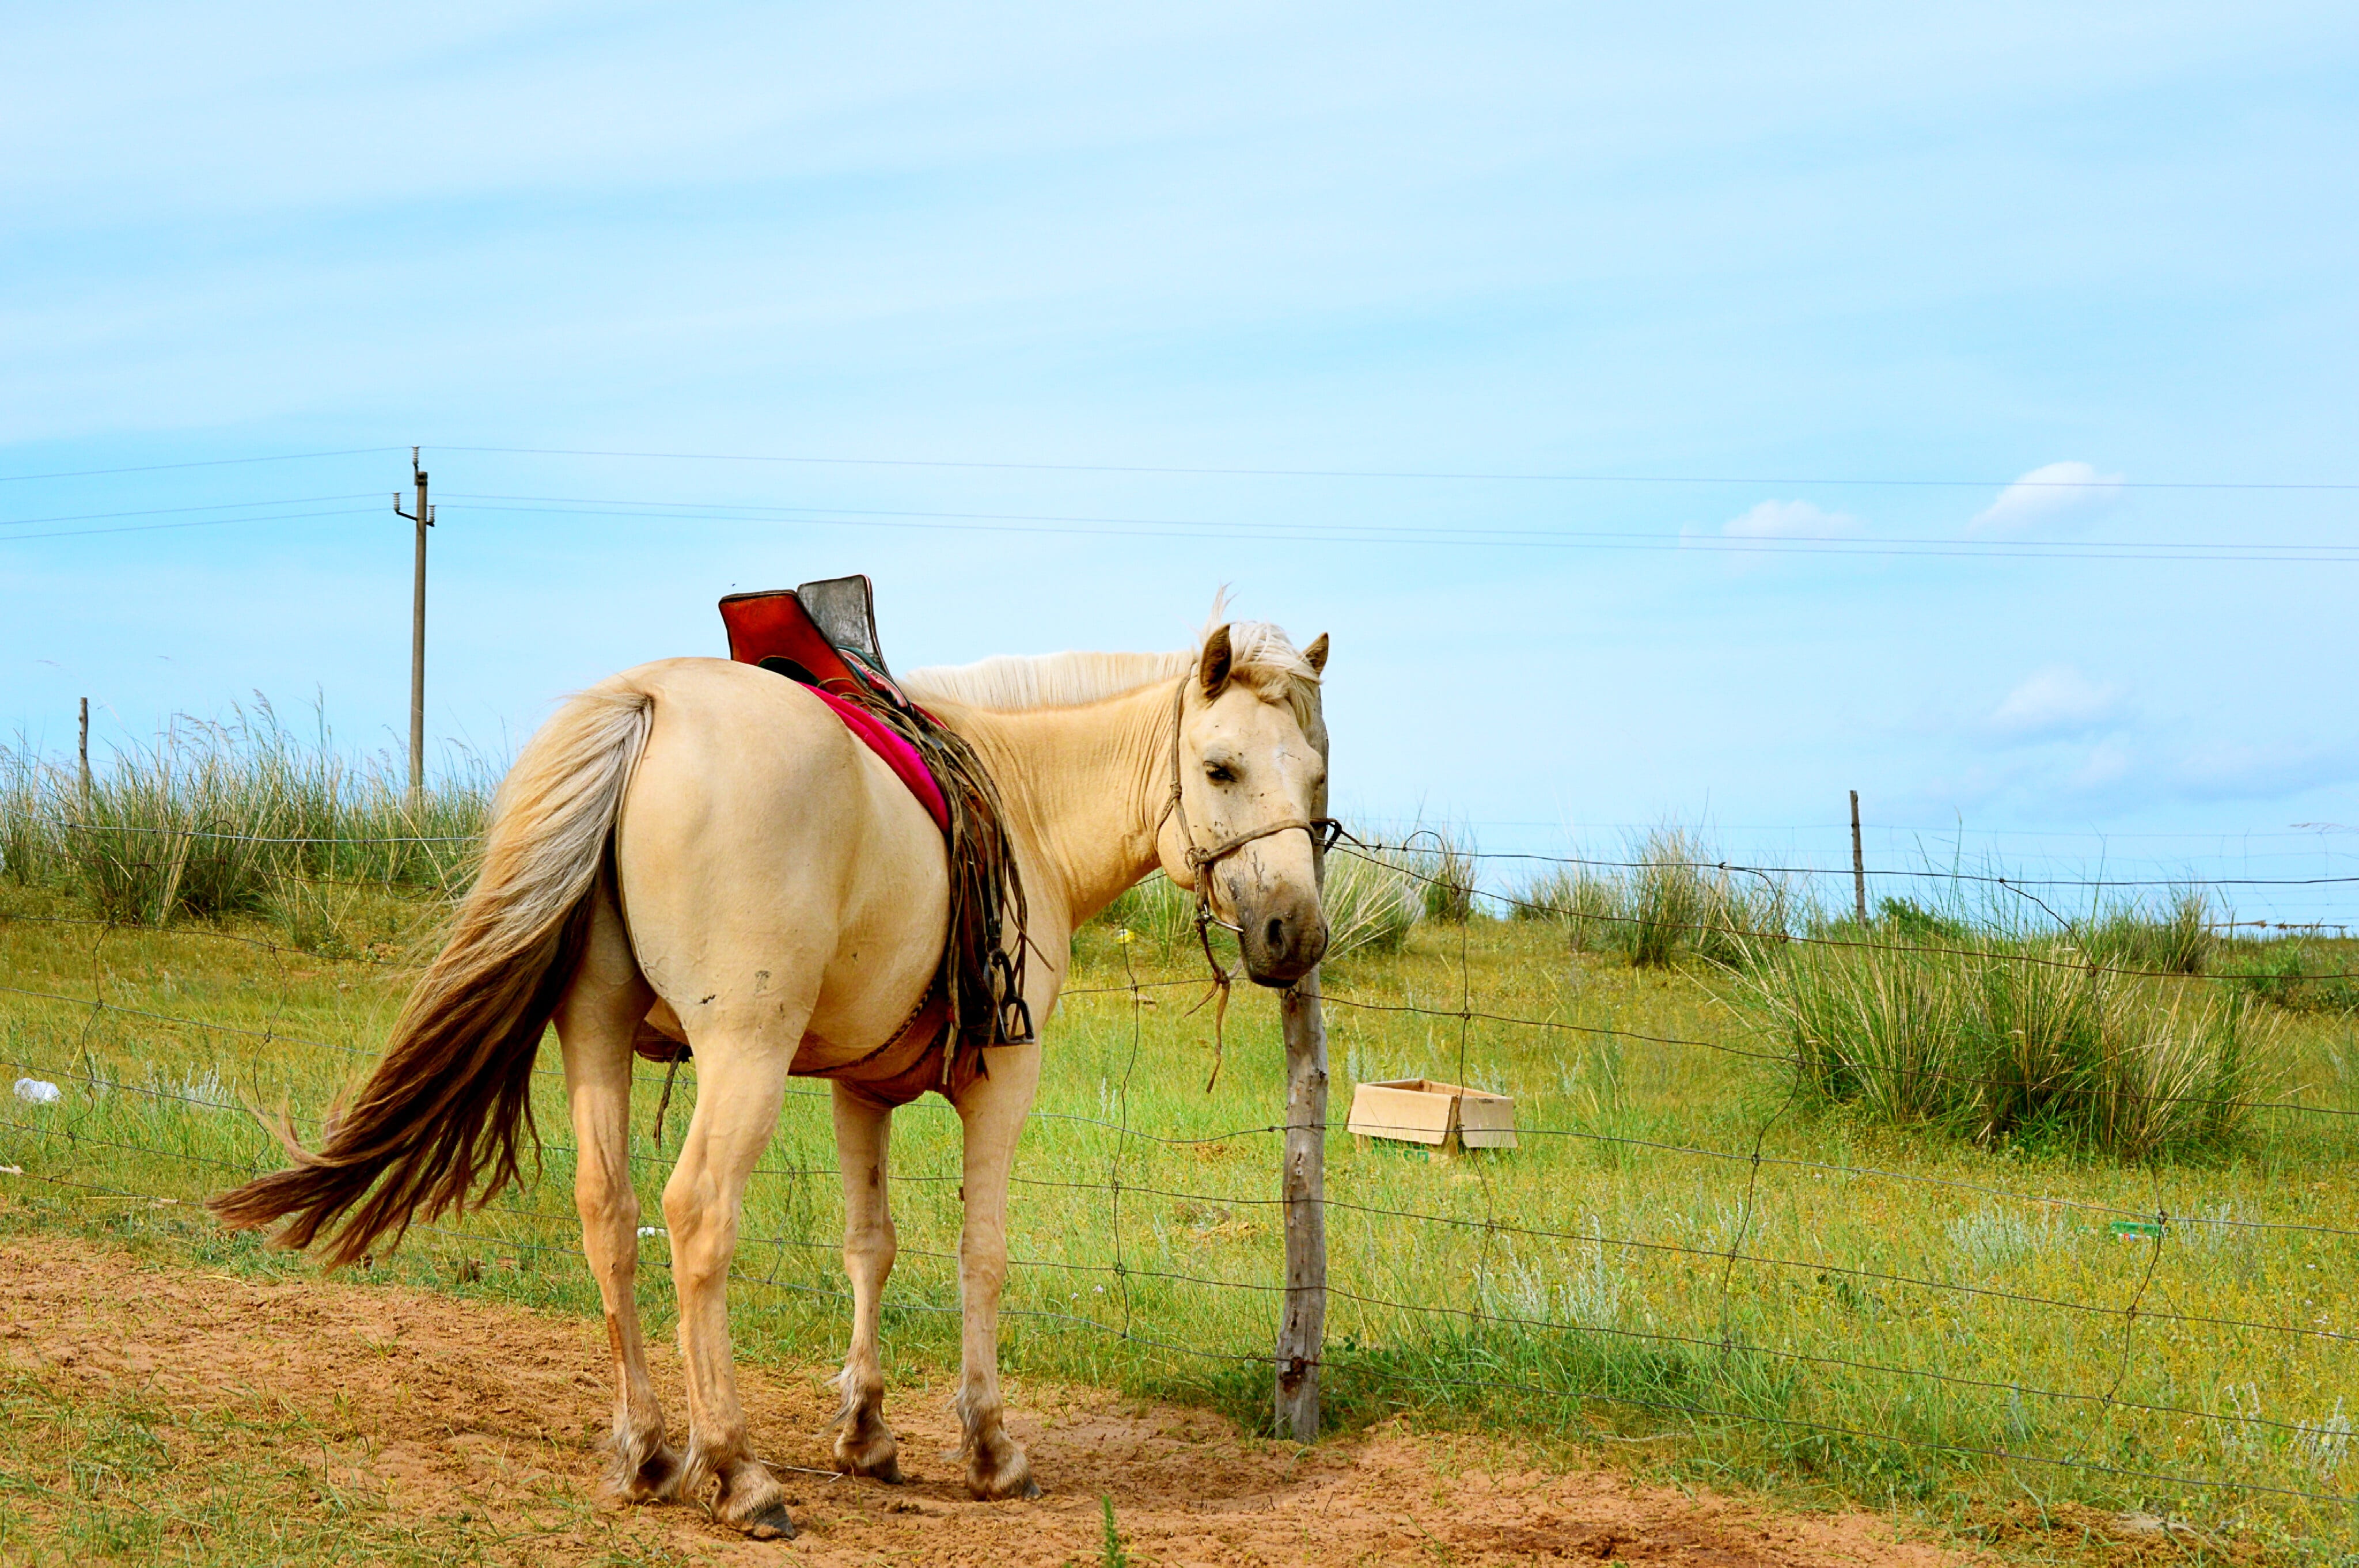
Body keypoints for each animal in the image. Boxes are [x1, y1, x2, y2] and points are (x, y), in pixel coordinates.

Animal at [210, 615, 1332, 1539]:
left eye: (1316, 776)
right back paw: (737, 1470)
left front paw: (866, 1431)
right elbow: (981, 1254)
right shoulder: (1004, 1078)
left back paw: (647, 1449)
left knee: (608, 1209)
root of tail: (649, 703)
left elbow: (869, 1246)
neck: (1022, 796)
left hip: (596, 1030)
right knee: (696, 1214)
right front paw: (989, 1446)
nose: (1296, 932)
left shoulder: (859, 1088)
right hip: (740, 1052)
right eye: (1221, 767)